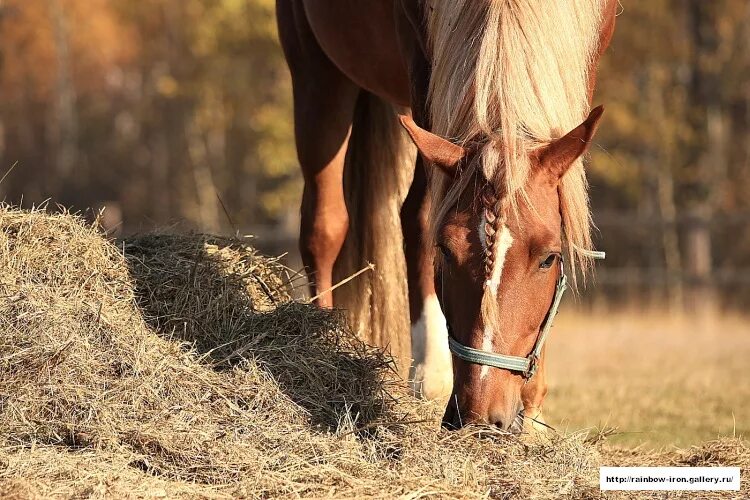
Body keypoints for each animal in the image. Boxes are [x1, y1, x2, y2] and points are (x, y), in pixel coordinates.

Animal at [280, 0, 620, 430]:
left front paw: (533, 404)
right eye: (443, 250)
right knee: (324, 227)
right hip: (317, 73)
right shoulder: (421, 62)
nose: (481, 415)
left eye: (549, 258)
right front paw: (431, 376)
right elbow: (421, 215)